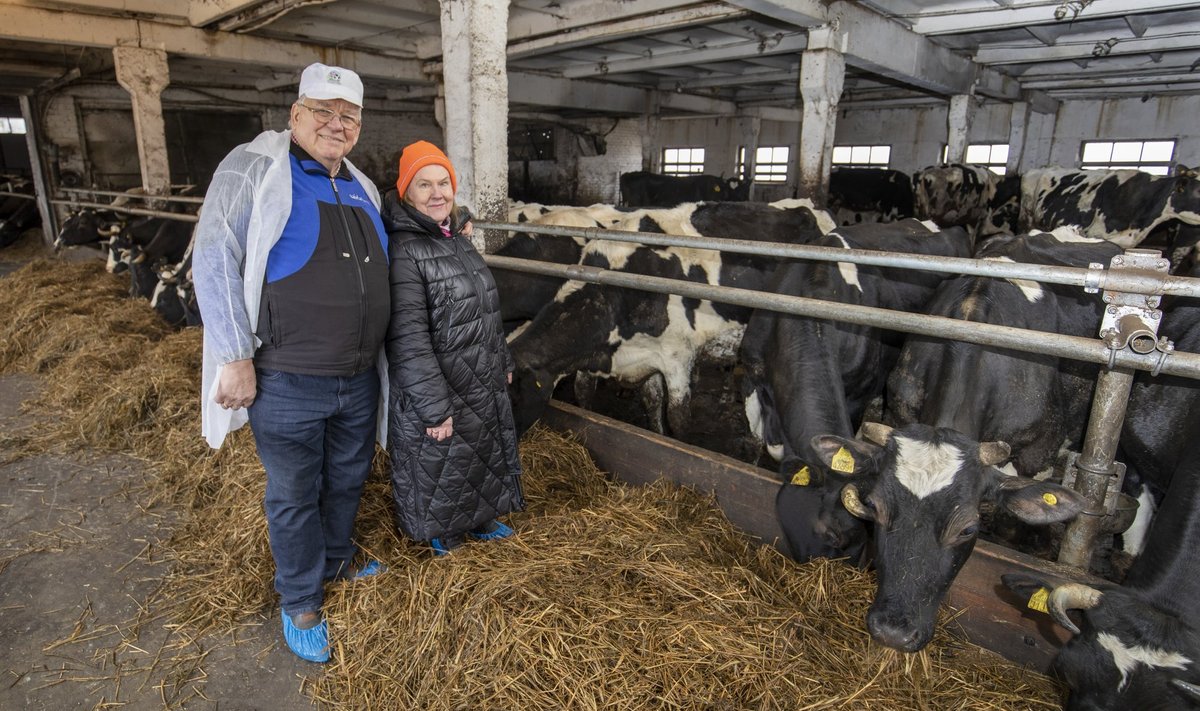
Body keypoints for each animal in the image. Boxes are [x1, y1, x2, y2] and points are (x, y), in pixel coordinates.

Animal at [506, 196, 835, 437]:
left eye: (512, 395)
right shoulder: (631, 356)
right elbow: (636, 400)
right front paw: (657, 434)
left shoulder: (678, 356)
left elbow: (679, 417)